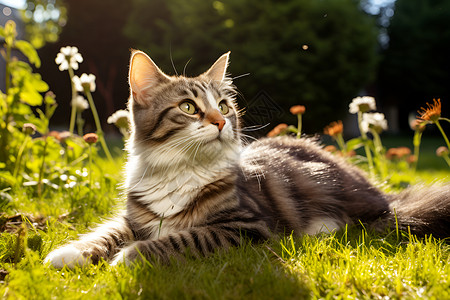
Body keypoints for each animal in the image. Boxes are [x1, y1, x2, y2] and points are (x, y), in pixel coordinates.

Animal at [44, 50, 448, 268]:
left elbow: (181, 239)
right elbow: (105, 233)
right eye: (188, 107)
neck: (179, 169)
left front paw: (128, 257)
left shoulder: (245, 225)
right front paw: (68, 254)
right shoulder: (136, 217)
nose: (221, 121)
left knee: (371, 220)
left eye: (224, 106)